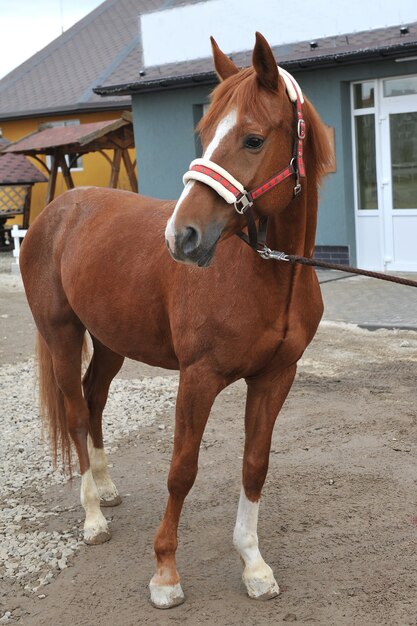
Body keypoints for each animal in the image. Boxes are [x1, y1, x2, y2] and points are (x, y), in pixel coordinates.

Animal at [20, 33, 332, 604]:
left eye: (253, 139)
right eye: (204, 134)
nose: (181, 237)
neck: (266, 275)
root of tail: (56, 211)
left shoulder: (276, 376)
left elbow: (255, 464)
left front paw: (253, 565)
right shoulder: (198, 377)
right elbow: (181, 470)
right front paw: (165, 572)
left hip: (111, 342)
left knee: (94, 400)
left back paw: (106, 488)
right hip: (61, 335)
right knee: (75, 412)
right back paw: (93, 518)